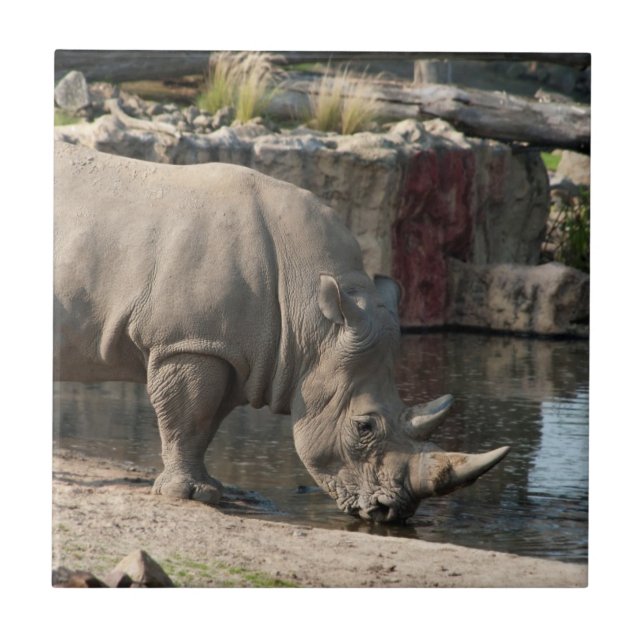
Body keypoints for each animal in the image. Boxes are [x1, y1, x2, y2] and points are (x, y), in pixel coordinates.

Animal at [54, 140, 509, 523]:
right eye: (364, 427)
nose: (391, 512)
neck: (313, 317)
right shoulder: (189, 343)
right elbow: (187, 416)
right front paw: (186, 495)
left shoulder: (235, 353)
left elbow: (205, 422)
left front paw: (209, 489)